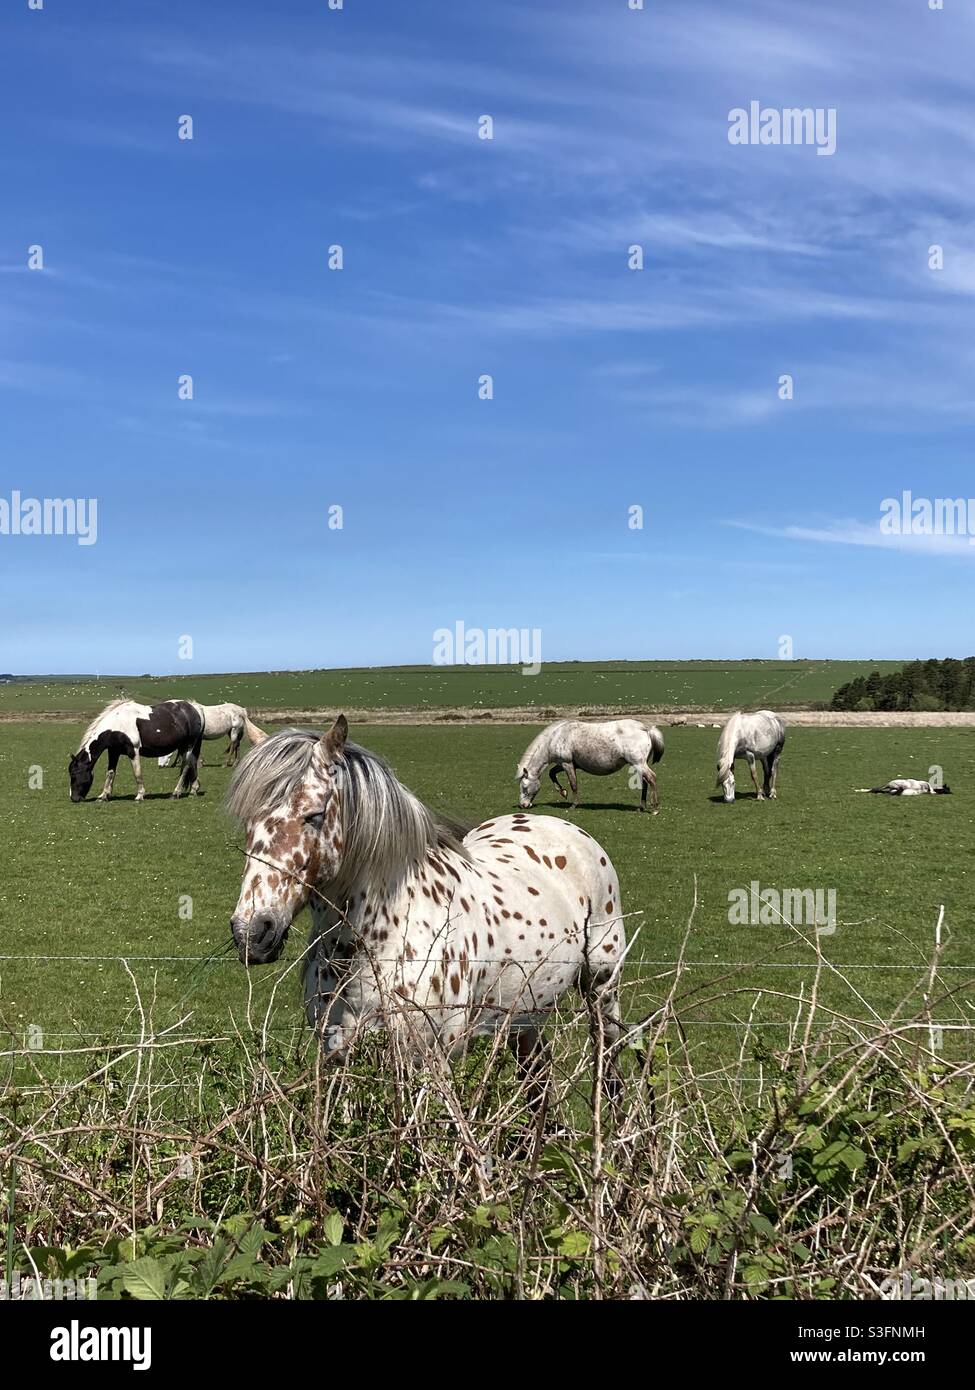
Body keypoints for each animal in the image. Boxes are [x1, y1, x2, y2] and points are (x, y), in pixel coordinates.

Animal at [68, 695, 207, 806]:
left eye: (75, 774)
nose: (74, 798)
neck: (117, 725)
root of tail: (195, 709)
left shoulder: (133, 751)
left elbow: (137, 773)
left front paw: (140, 795)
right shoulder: (113, 752)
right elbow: (110, 773)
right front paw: (104, 795)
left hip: (187, 746)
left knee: (186, 767)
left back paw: (175, 793)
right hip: (187, 747)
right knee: (192, 764)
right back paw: (194, 790)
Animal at [223, 717, 628, 1084]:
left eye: (314, 815)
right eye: (247, 820)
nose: (253, 933)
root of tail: (561, 826)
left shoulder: (427, 1063)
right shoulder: (339, 1058)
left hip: (601, 990)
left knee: (611, 1069)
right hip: (523, 1017)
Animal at [514, 717, 664, 811]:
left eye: (524, 787)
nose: (523, 805)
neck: (555, 736)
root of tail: (646, 729)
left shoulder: (567, 764)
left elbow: (573, 784)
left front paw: (573, 805)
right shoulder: (565, 764)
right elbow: (552, 773)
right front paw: (563, 792)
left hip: (638, 764)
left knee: (652, 778)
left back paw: (655, 807)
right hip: (639, 765)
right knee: (645, 782)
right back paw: (641, 807)